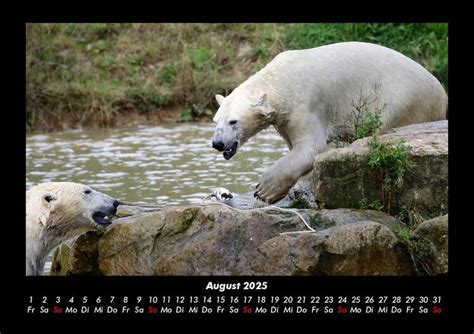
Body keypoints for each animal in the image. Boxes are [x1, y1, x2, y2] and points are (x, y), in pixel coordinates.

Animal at [211, 41, 448, 204]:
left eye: (233, 121)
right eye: (216, 120)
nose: (218, 143)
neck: (281, 81)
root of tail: (441, 91)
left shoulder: (305, 103)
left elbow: (312, 148)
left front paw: (265, 189)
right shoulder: (285, 117)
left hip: (403, 100)